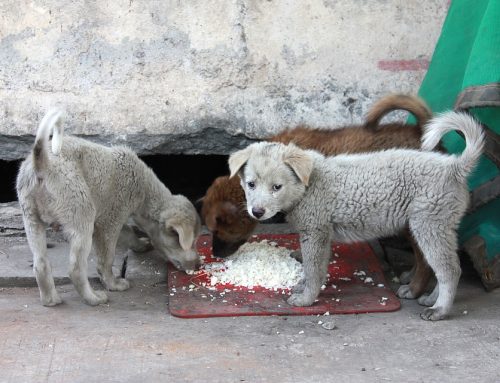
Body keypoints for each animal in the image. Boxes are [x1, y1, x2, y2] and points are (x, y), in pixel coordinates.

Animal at [17, 109, 201, 308]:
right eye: (188, 241)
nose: (199, 265)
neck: (144, 189)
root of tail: (41, 163)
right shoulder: (110, 222)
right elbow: (107, 259)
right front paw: (113, 284)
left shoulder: (108, 219)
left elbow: (128, 234)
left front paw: (141, 244)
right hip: (81, 214)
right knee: (75, 269)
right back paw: (94, 298)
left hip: (31, 218)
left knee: (40, 263)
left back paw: (51, 300)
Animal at [230, 112, 484, 320]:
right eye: (251, 184)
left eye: (277, 187)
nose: (257, 212)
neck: (309, 184)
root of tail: (454, 167)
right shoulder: (322, 234)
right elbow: (316, 269)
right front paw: (303, 287)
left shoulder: (315, 232)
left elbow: (312, 269)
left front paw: (306, 299)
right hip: (442, 227)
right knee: (448, 265)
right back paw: (431, 298)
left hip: (429, 225)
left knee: (449, 270)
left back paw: (439, 309)